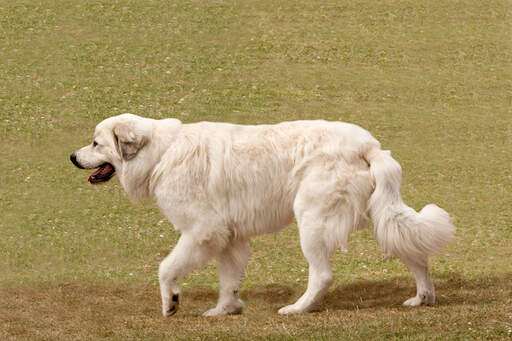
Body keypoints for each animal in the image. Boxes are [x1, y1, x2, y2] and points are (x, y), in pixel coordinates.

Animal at [69, 113, 456, 316]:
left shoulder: (201, 231)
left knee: (323, 275)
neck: (161, 153)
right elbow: (228, 279)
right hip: (380, 217)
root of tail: (368, 144)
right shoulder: (228, 238)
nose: (72, 157)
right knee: (416, 255)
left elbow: (166, 268)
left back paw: (297, 309)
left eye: (95, 143)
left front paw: (171, 303)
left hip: (311, 220)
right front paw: (224, 311)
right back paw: (423, 298)